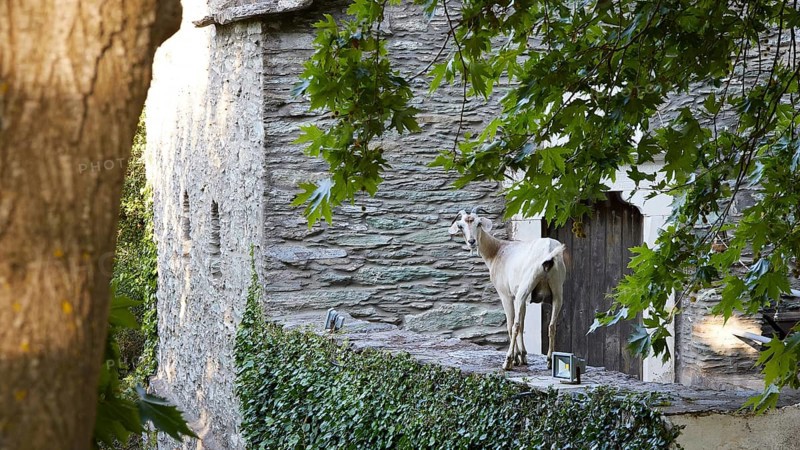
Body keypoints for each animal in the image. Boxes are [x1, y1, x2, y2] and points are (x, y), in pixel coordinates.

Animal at [449, 207, 567, 371]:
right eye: (460, 226)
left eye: (478, 223)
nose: (472, 242)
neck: (497, 251)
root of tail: (549, 252)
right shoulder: (522, 298)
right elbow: (523, 323)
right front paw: (523, 356)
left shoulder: (507, 295)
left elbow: (511, 325)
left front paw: (515, 359)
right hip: (556, 291)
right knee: (552, 326)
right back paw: (549, 361)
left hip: (525, 287)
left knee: (515, 326)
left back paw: (507, 361)